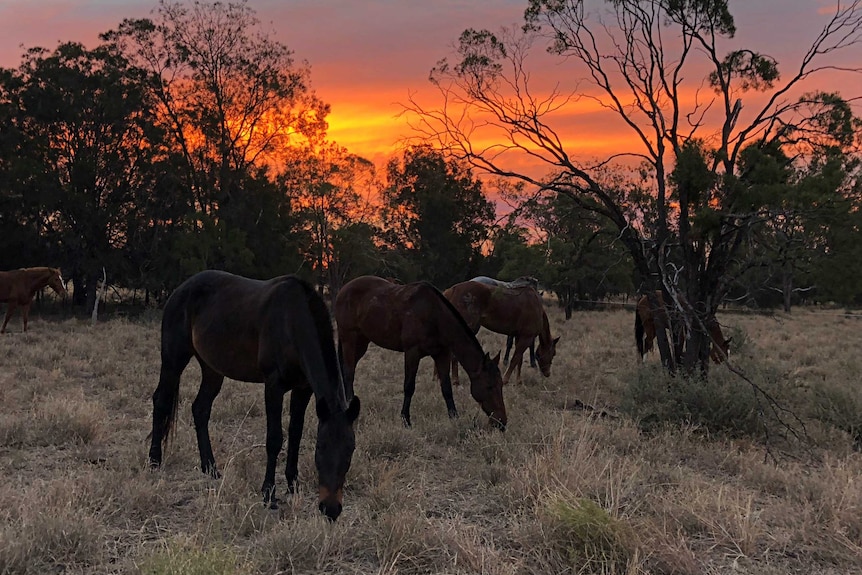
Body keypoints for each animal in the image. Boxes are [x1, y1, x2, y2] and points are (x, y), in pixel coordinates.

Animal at [148, 270, 362, 520]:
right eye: (320, 448)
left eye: (350, 450)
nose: (331, 509)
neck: (292, 321)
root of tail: (181, 289)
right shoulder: (273, 386)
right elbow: (274, 438)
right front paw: (269, 494)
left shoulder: (303, 389)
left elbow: (295, 434)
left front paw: (293, 485)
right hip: (174, 359)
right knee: (161, 401)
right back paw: (154, 461)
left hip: (212, 369)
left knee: (200, 409)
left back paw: (210, 468)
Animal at [332, 276, 506, 430]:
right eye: (489, 386)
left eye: (501, 385)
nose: (501, 422)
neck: (434, 315)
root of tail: (344, 289)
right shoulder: (412, 353)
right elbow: (409, 386)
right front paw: (406, 420)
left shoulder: (442, 354)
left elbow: (446, 387)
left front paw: (454, 417)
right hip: (349, 339)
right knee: (348, 372)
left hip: (362, 342)